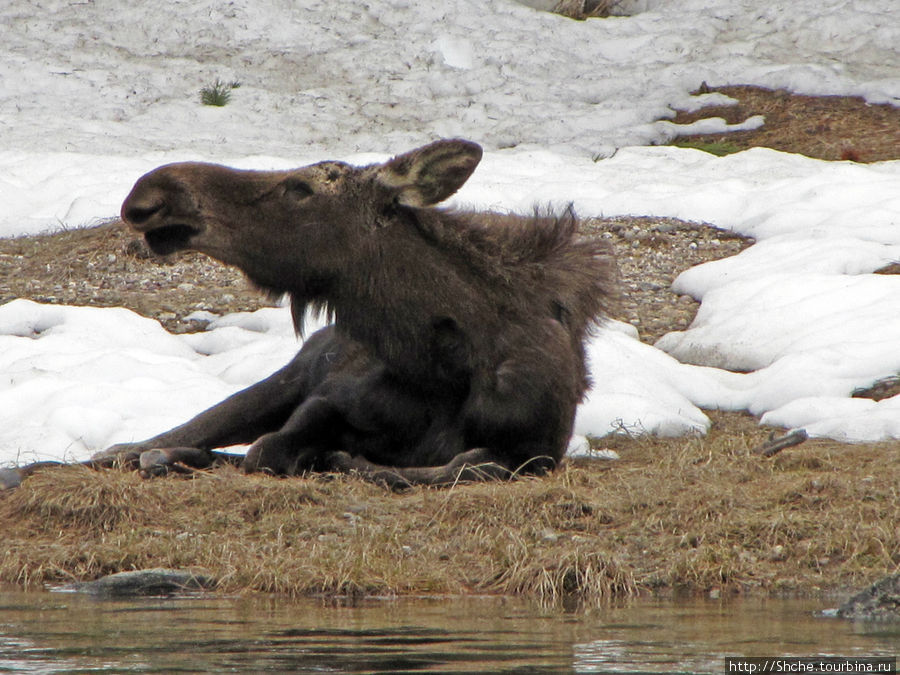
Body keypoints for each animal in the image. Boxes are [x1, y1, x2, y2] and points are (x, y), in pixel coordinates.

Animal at [0, 141, 620, 492]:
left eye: (299, 188)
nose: (151, 194)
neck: (444, 364)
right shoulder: (326, 397)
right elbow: (271, 448)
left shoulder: (535, 451)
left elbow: (470, 464)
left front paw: (346, 462)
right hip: (280, 379)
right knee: (156, 439)